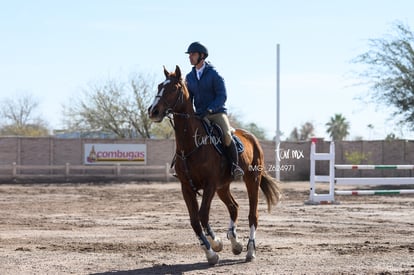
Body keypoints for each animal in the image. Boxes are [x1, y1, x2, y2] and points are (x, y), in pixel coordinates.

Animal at [147, 66, 280, 266]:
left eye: (173, 88)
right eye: (159, 86)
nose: (153, 111)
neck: (191, 145)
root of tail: (252, 137)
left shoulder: (209, 185)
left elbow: (203, 215)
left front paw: (216, 244)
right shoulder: (186, 187)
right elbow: (195, 220)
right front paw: (211, 252)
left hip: (252, 180)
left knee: (252, 215)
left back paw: (250, 250)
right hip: (222, 187)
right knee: (234, 207)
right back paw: (235, 243)